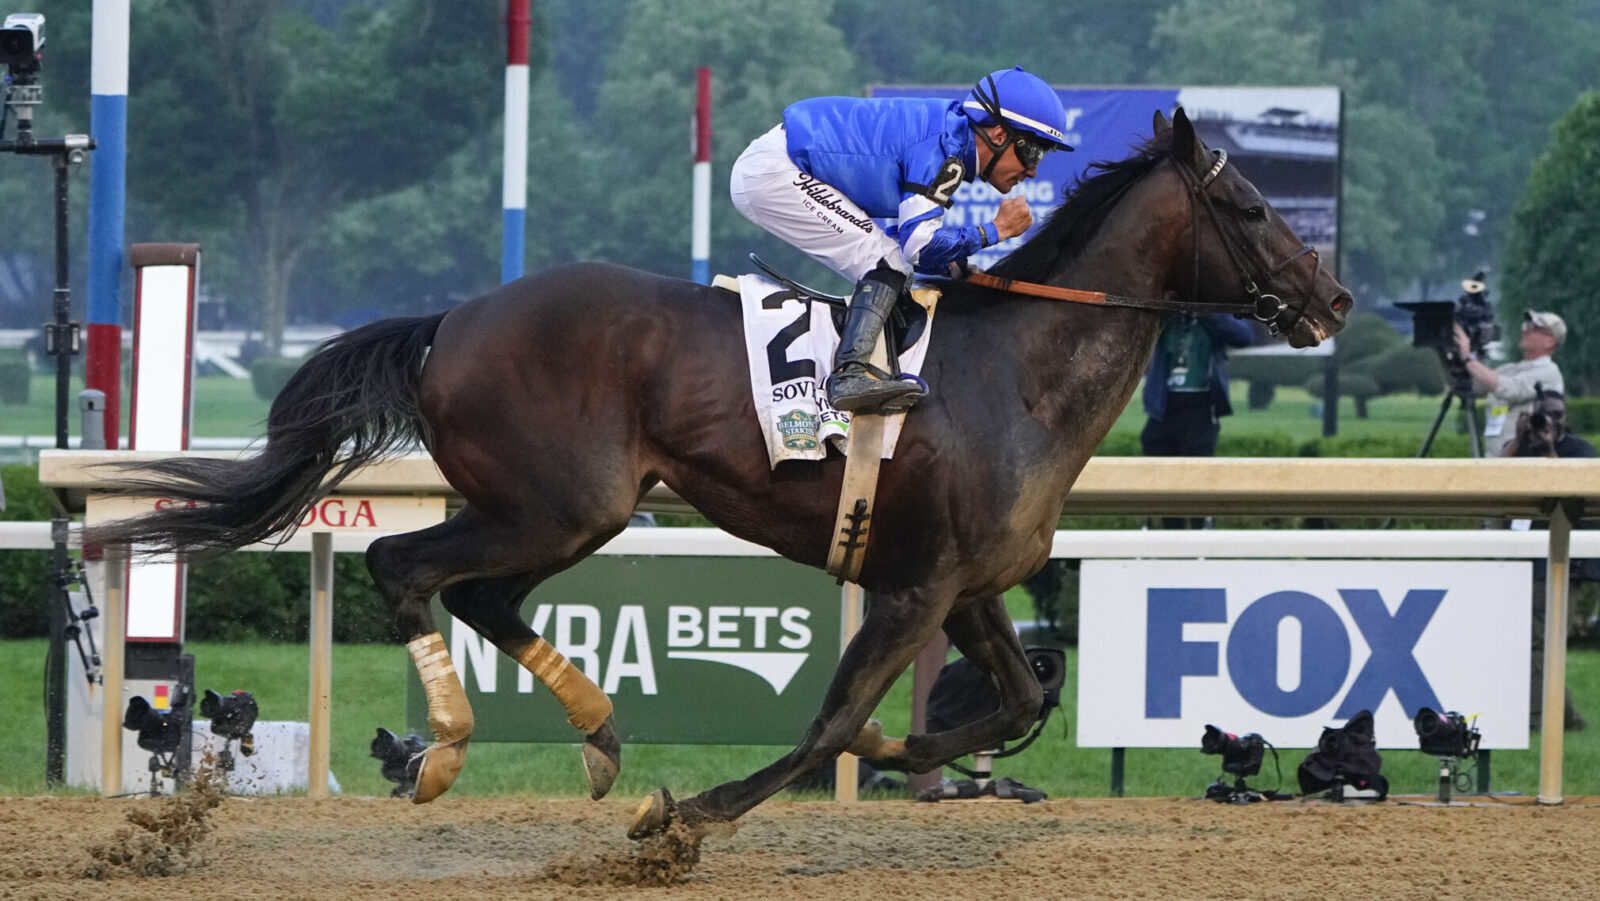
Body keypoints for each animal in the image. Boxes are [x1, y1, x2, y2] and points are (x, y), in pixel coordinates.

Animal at [86, 109, 1351, 836]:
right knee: (406, 566)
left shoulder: (966, 584)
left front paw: (904, 755)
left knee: (482, 596)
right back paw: (445, 752)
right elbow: (832, 726)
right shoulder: (910, 588)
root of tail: (454, 321)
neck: (1015, 374)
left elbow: (1016, 697)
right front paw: (693, 810)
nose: (1333, 299)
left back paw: (598, 733)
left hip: (567, 512)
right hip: (556, 501)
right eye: (1248, 204)